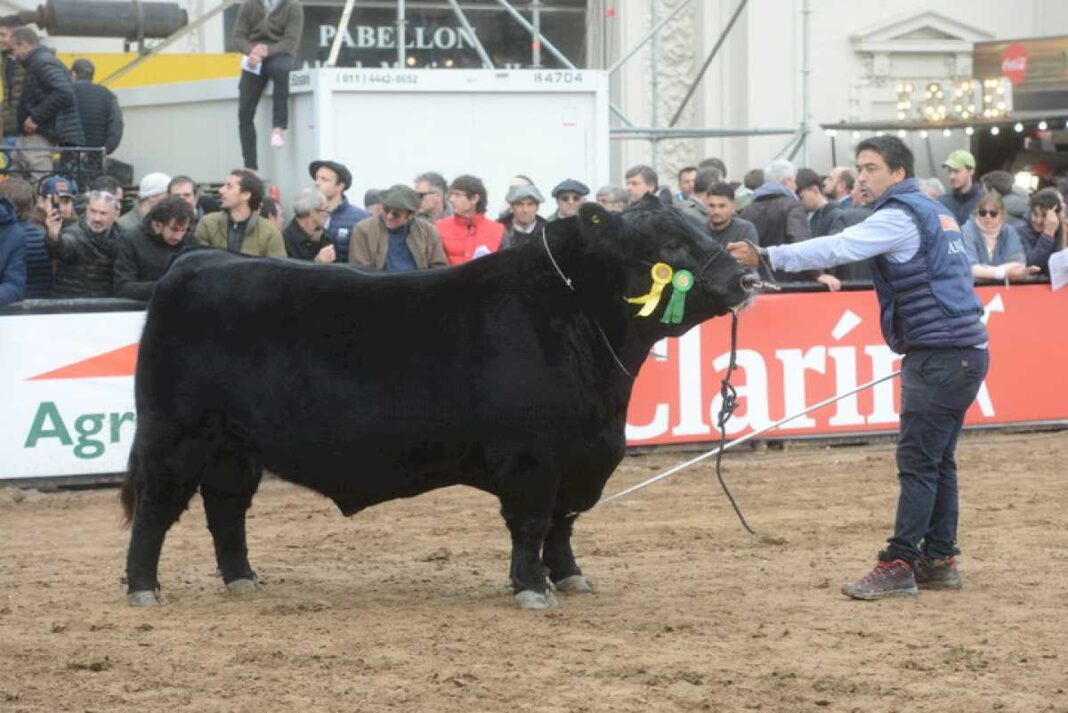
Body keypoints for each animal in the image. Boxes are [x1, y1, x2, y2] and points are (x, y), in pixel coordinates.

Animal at [121, 199, 751, 606]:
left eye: (701, 226)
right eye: (670, 243)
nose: (745, 278)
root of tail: (199, 260)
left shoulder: (582, 457)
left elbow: (562, 524)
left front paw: (570, 578)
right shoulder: (533, 458)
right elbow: (532, 522)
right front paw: (532, 588)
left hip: (234, 445)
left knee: (226, 507)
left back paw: (242, 579)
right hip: (176, 432)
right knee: (157, 507)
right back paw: (143, 587)